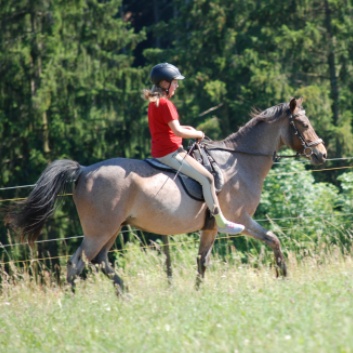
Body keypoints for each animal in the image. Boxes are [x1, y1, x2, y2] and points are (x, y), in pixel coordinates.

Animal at [5, 96, 326, 292]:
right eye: (304, 124)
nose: (322, 154)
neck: (238, 162)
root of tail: (83, 171)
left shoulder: (211, 227)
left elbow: (205, 260)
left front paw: (199, 293)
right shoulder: (240, 220)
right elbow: (271, 239)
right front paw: (283, 275)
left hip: (111, 229)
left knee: (99, 260)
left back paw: (124, 293)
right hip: (100, 230)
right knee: (77, 263)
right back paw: (76, 303)